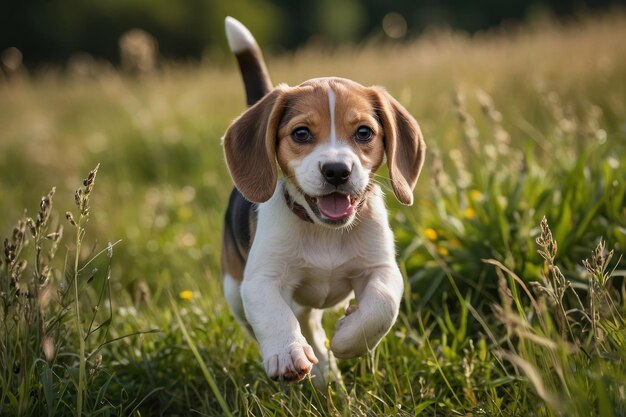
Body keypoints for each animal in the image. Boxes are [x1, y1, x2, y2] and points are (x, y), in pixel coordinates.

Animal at [219, 16, 424, 386]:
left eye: (364, 132)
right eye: (301, 133)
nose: (336, 171)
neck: (324, 231)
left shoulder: (381, 267)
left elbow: (382, 304)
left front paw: (348, 339)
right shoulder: (261, 279)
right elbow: (274, 315)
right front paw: (286, 353)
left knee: (312, 325)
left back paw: (326, 370)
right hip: (233, 290)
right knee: (282, 321)